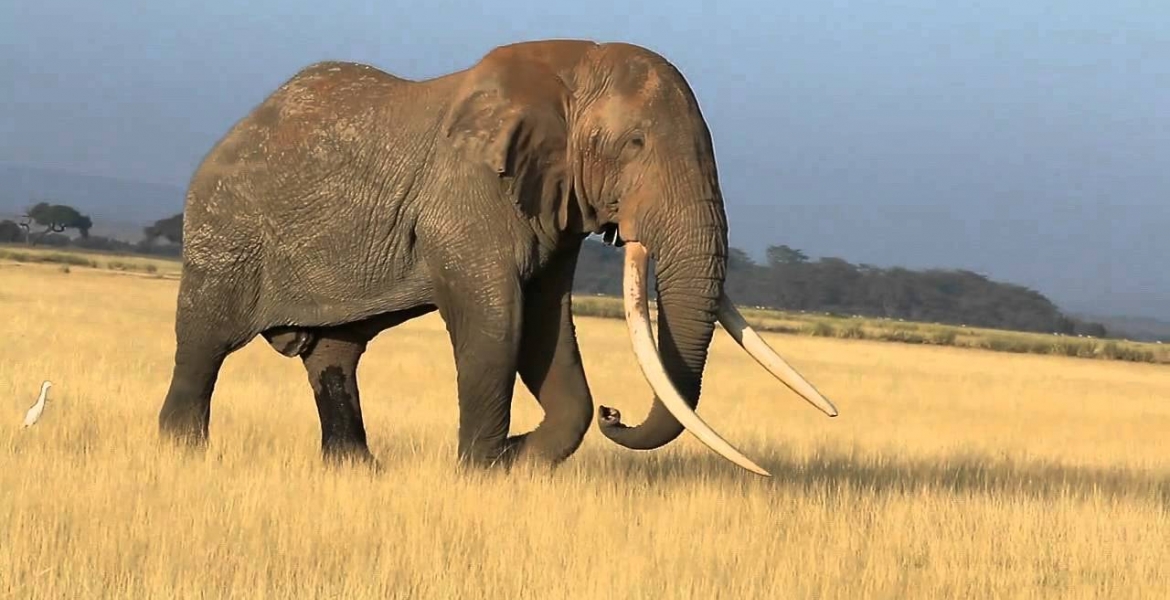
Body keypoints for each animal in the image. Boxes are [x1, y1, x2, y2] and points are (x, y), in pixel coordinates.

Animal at [157, 38, 839, 476]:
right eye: (635, 143)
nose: (618, 411)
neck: (571, 68)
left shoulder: (554, 203)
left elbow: (544, 323)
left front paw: (515, 459)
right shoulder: (467, 194)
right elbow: (495, 322)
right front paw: (481, 471)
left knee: (334, 357)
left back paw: (355, 471)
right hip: (223, 234)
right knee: (203, 346)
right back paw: (184, 457)